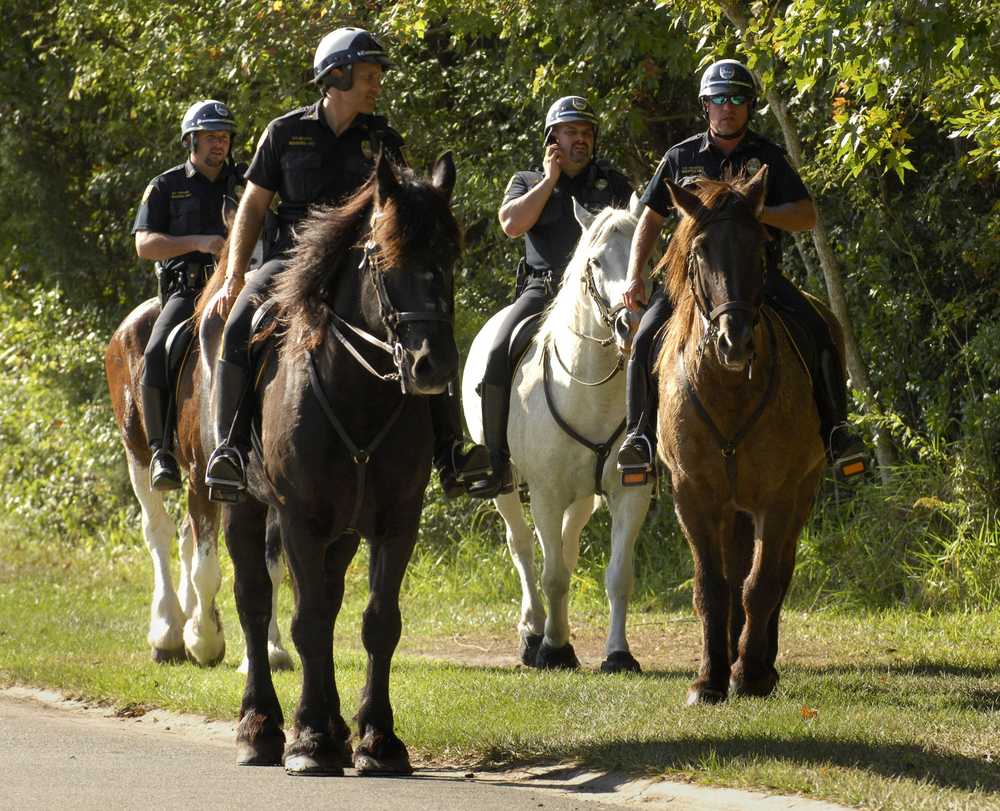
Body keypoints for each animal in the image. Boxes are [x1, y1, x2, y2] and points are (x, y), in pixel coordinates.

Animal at [462, 198, 652, 672]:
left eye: (645, 255)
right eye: (595, 261)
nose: (631, 322)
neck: (588, 389)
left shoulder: (630, 491)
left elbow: (618, 576)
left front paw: (618, 654)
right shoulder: (546, 495)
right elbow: (552, 575)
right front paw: (553, 647)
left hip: (582, 496)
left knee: (566, 546)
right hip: (506, 485)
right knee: (524, 548)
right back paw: (533, 631)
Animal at [656, 170, 836, 704]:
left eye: (760, 248)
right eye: (699, 251)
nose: (733, 342)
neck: (729, 390)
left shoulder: (778, 497)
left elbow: (762, 584)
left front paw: (750, 674)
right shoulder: (692, 495)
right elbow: (713, 587)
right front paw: (709, 678)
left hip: (799, 492)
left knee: (777, 571)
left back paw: (761, 662)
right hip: (732, 507)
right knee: (735, 573)